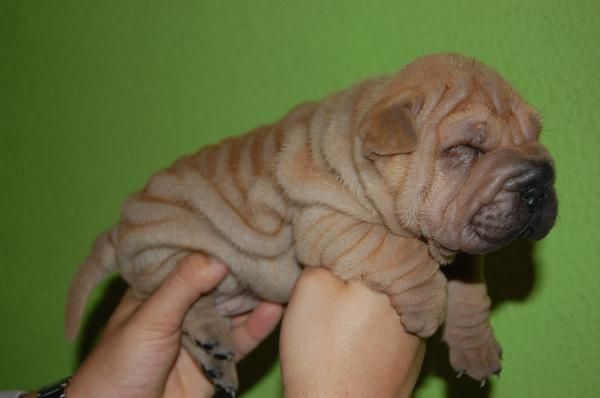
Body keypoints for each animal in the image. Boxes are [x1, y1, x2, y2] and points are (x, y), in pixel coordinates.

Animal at [65, 54, 556, 396]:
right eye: (467, 149)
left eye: (535, 136)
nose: (539, 181)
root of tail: (120, 225)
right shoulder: (327, 223)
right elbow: (400, 251)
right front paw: (426, 305)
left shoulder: (463, 245)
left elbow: (470, 289)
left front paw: (475, 348)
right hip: (166, 252)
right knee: (181, 301)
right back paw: (211, 336)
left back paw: (215, 358)